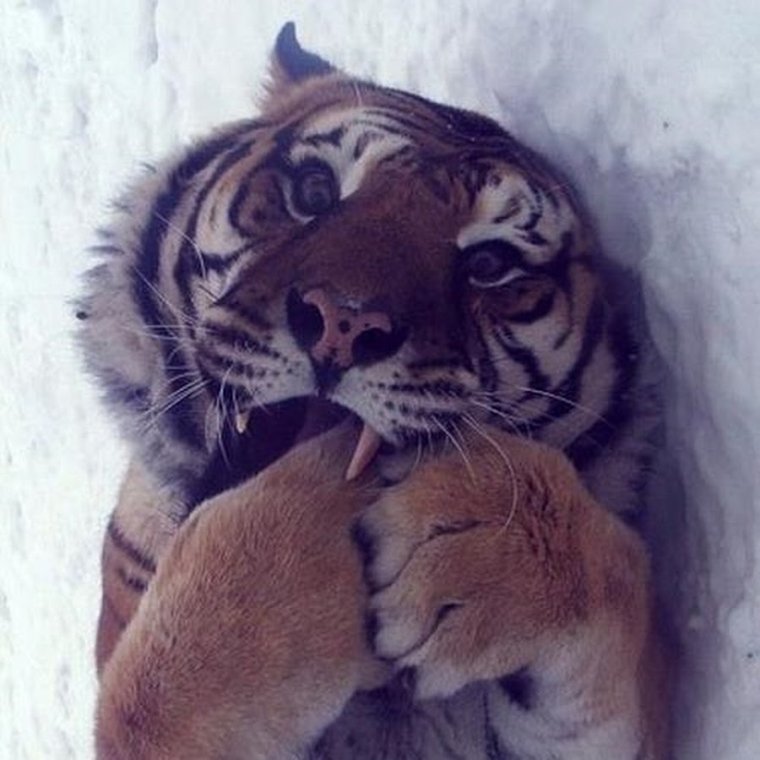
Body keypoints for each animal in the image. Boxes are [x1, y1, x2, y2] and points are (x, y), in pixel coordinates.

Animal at [80, 22, 670, 760]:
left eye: (489, 264)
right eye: (314, 190)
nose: (345, 323)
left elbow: (618, 576)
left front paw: (481, 533)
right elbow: (149, 695)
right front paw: (303, 551)